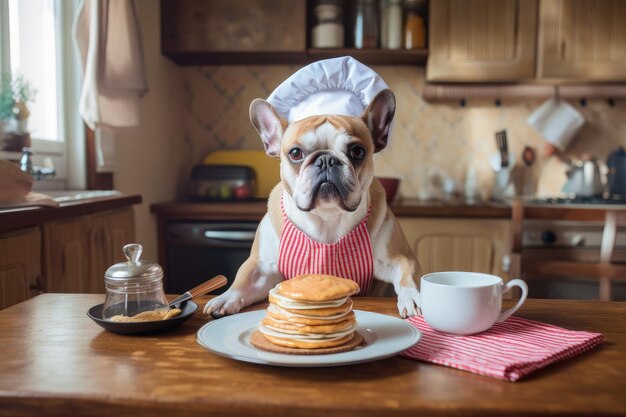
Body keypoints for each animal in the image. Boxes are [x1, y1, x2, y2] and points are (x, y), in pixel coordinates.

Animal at [202, 88, 422, 316]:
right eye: (295, 153)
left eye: (357, 151)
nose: (326, 160)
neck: (326, 216)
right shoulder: (261, 267)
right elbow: (243, 280)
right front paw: (226, 298)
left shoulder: (400, 259)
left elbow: (407, 277)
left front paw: (413, 298)